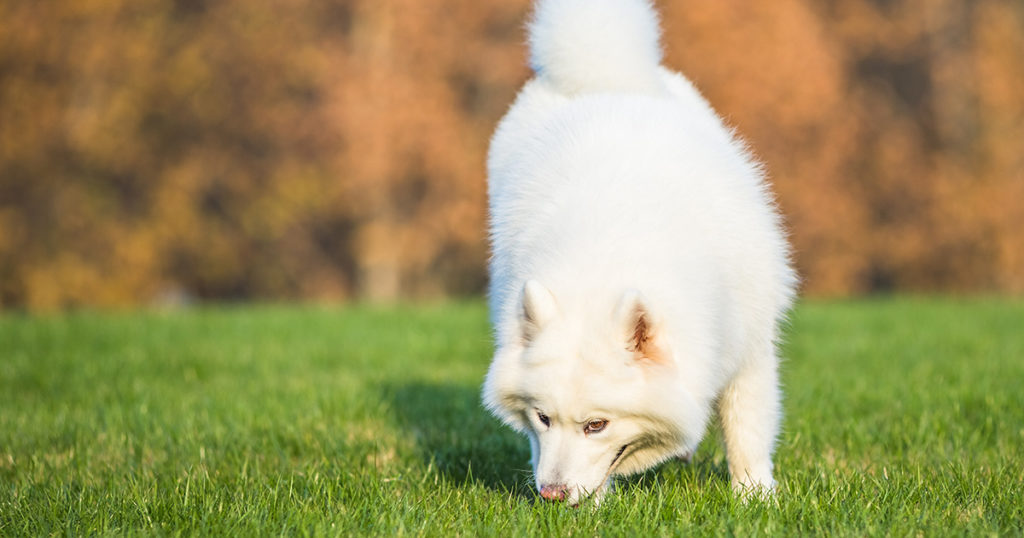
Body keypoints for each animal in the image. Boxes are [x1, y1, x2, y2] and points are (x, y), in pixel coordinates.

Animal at [481, 0, 798, 506]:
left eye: (597, 425)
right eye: (543, 418)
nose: (550, 495)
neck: (603, 262)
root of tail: (607, 81)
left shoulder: (749, 351)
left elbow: (746, 432)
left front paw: (755, 499)